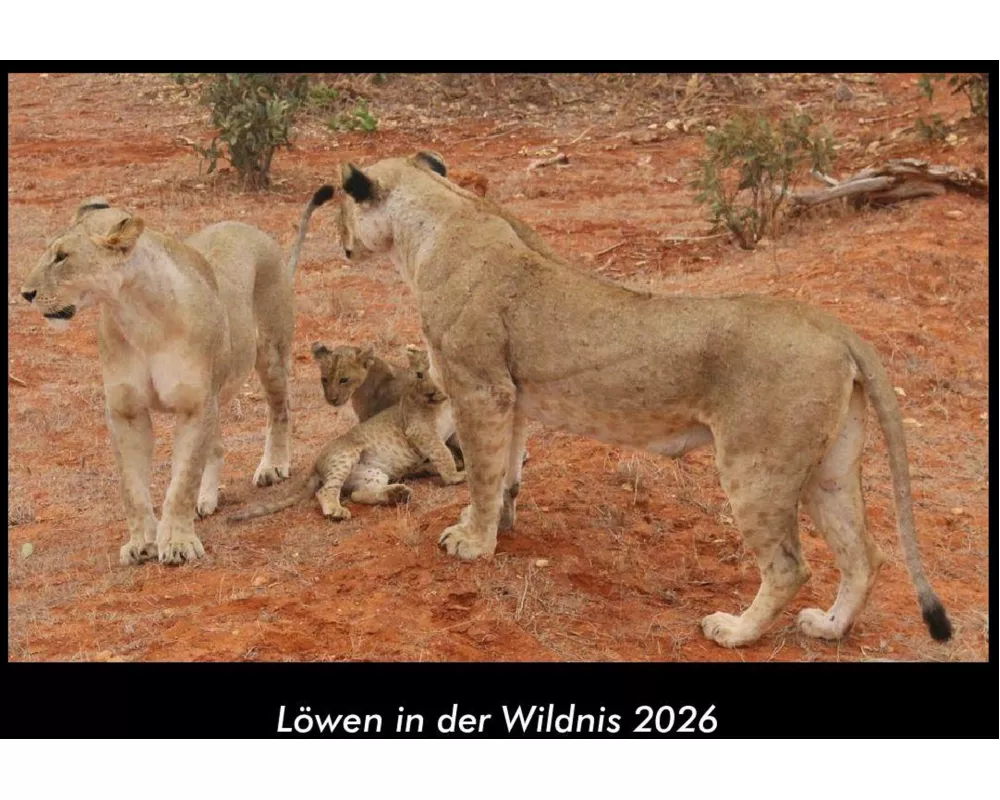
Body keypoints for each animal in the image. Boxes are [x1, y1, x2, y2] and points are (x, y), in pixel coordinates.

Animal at [20, 185, 334, 565]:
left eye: (62, 256)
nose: (25, 293)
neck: (138, 315)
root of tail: (250, 228)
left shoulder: (195, 404)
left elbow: (181, 482)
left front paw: (178, 543)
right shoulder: (126, 411)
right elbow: (132, 487)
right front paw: (142, 542)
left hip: (270, 356)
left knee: (281, 410)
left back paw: (272, 466)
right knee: (217, 445)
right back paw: (207, 499)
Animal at [228, 346, 465, 522]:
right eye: (420, 375)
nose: (431, 393)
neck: (443, 403)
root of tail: (315, 465)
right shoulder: (419, 430)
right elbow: (442, 452)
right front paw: (455, 476)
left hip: (372, 474)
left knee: (358, 493)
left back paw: (397, 494)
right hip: (345, 456)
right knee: (326, 490)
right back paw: (337, 511)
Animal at [333, 150, 953, 648]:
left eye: (337, 204)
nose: (341, 246)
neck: (439, 218)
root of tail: (834, 327)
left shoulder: (478, 387)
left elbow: (482, 475)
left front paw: (472, 542)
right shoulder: (510, 396)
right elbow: (505, 473)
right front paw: (495, 527)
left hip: (757, 465)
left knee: (787, 566)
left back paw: (734, 631)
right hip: (828, 467)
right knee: (865, 555)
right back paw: (827, 627)